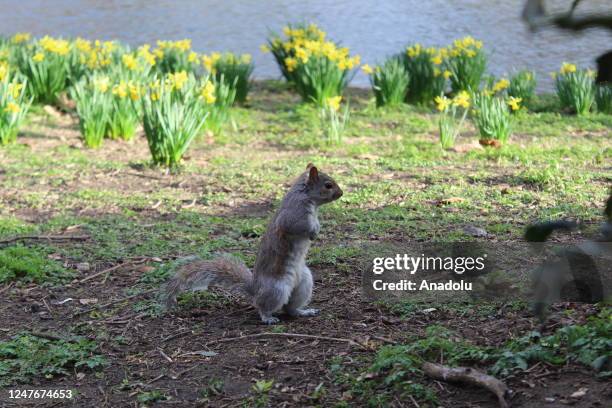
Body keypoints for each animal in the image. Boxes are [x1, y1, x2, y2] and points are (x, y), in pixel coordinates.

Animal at [163, 164, 344, 324]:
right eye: (328, 185)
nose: (341, 193)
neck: (306, 197)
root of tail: (255, 289)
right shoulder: (293, 215)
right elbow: (297, 226)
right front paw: (314, 231)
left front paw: (317, 228)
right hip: (277, 289)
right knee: (263, 306)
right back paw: (268, 318)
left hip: (304, 283)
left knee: (290, 309)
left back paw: (304, 311)